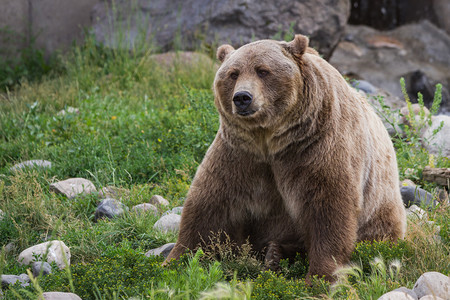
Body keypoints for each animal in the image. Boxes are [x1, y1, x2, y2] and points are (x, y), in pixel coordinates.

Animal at [163, 34, 408, 282]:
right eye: (233, 73)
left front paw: (321, 276)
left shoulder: (316, 147)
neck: (271, 140)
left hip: (380, 207)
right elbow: (208, 205)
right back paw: (274, 253)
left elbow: (330, 208)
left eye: (263, 70)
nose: (242, 97)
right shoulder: (239, 154)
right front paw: (174, 261)